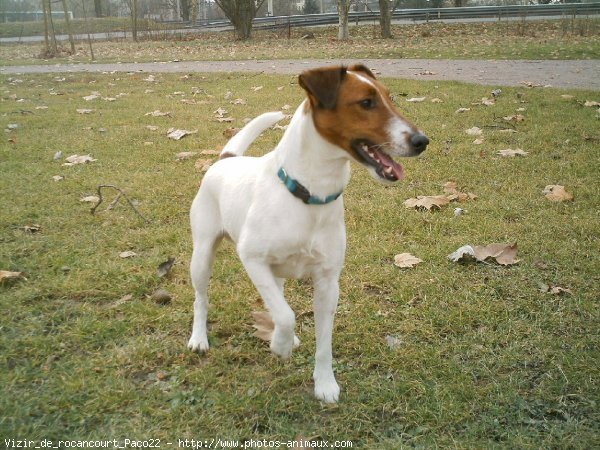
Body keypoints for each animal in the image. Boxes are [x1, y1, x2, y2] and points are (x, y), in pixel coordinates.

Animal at [188, 64, 426, 404]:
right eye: (366, 103)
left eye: (390, 98)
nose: (422, 141)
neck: (308, 196)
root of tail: (226, 160)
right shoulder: (251, 258)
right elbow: (287, 315)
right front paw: (280, 345)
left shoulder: (328, 282)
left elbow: (322, 342)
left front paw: (324, 383)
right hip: (203, 254)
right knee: (202, 298)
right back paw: (199, 338)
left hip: (276, 272)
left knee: (276, 300)